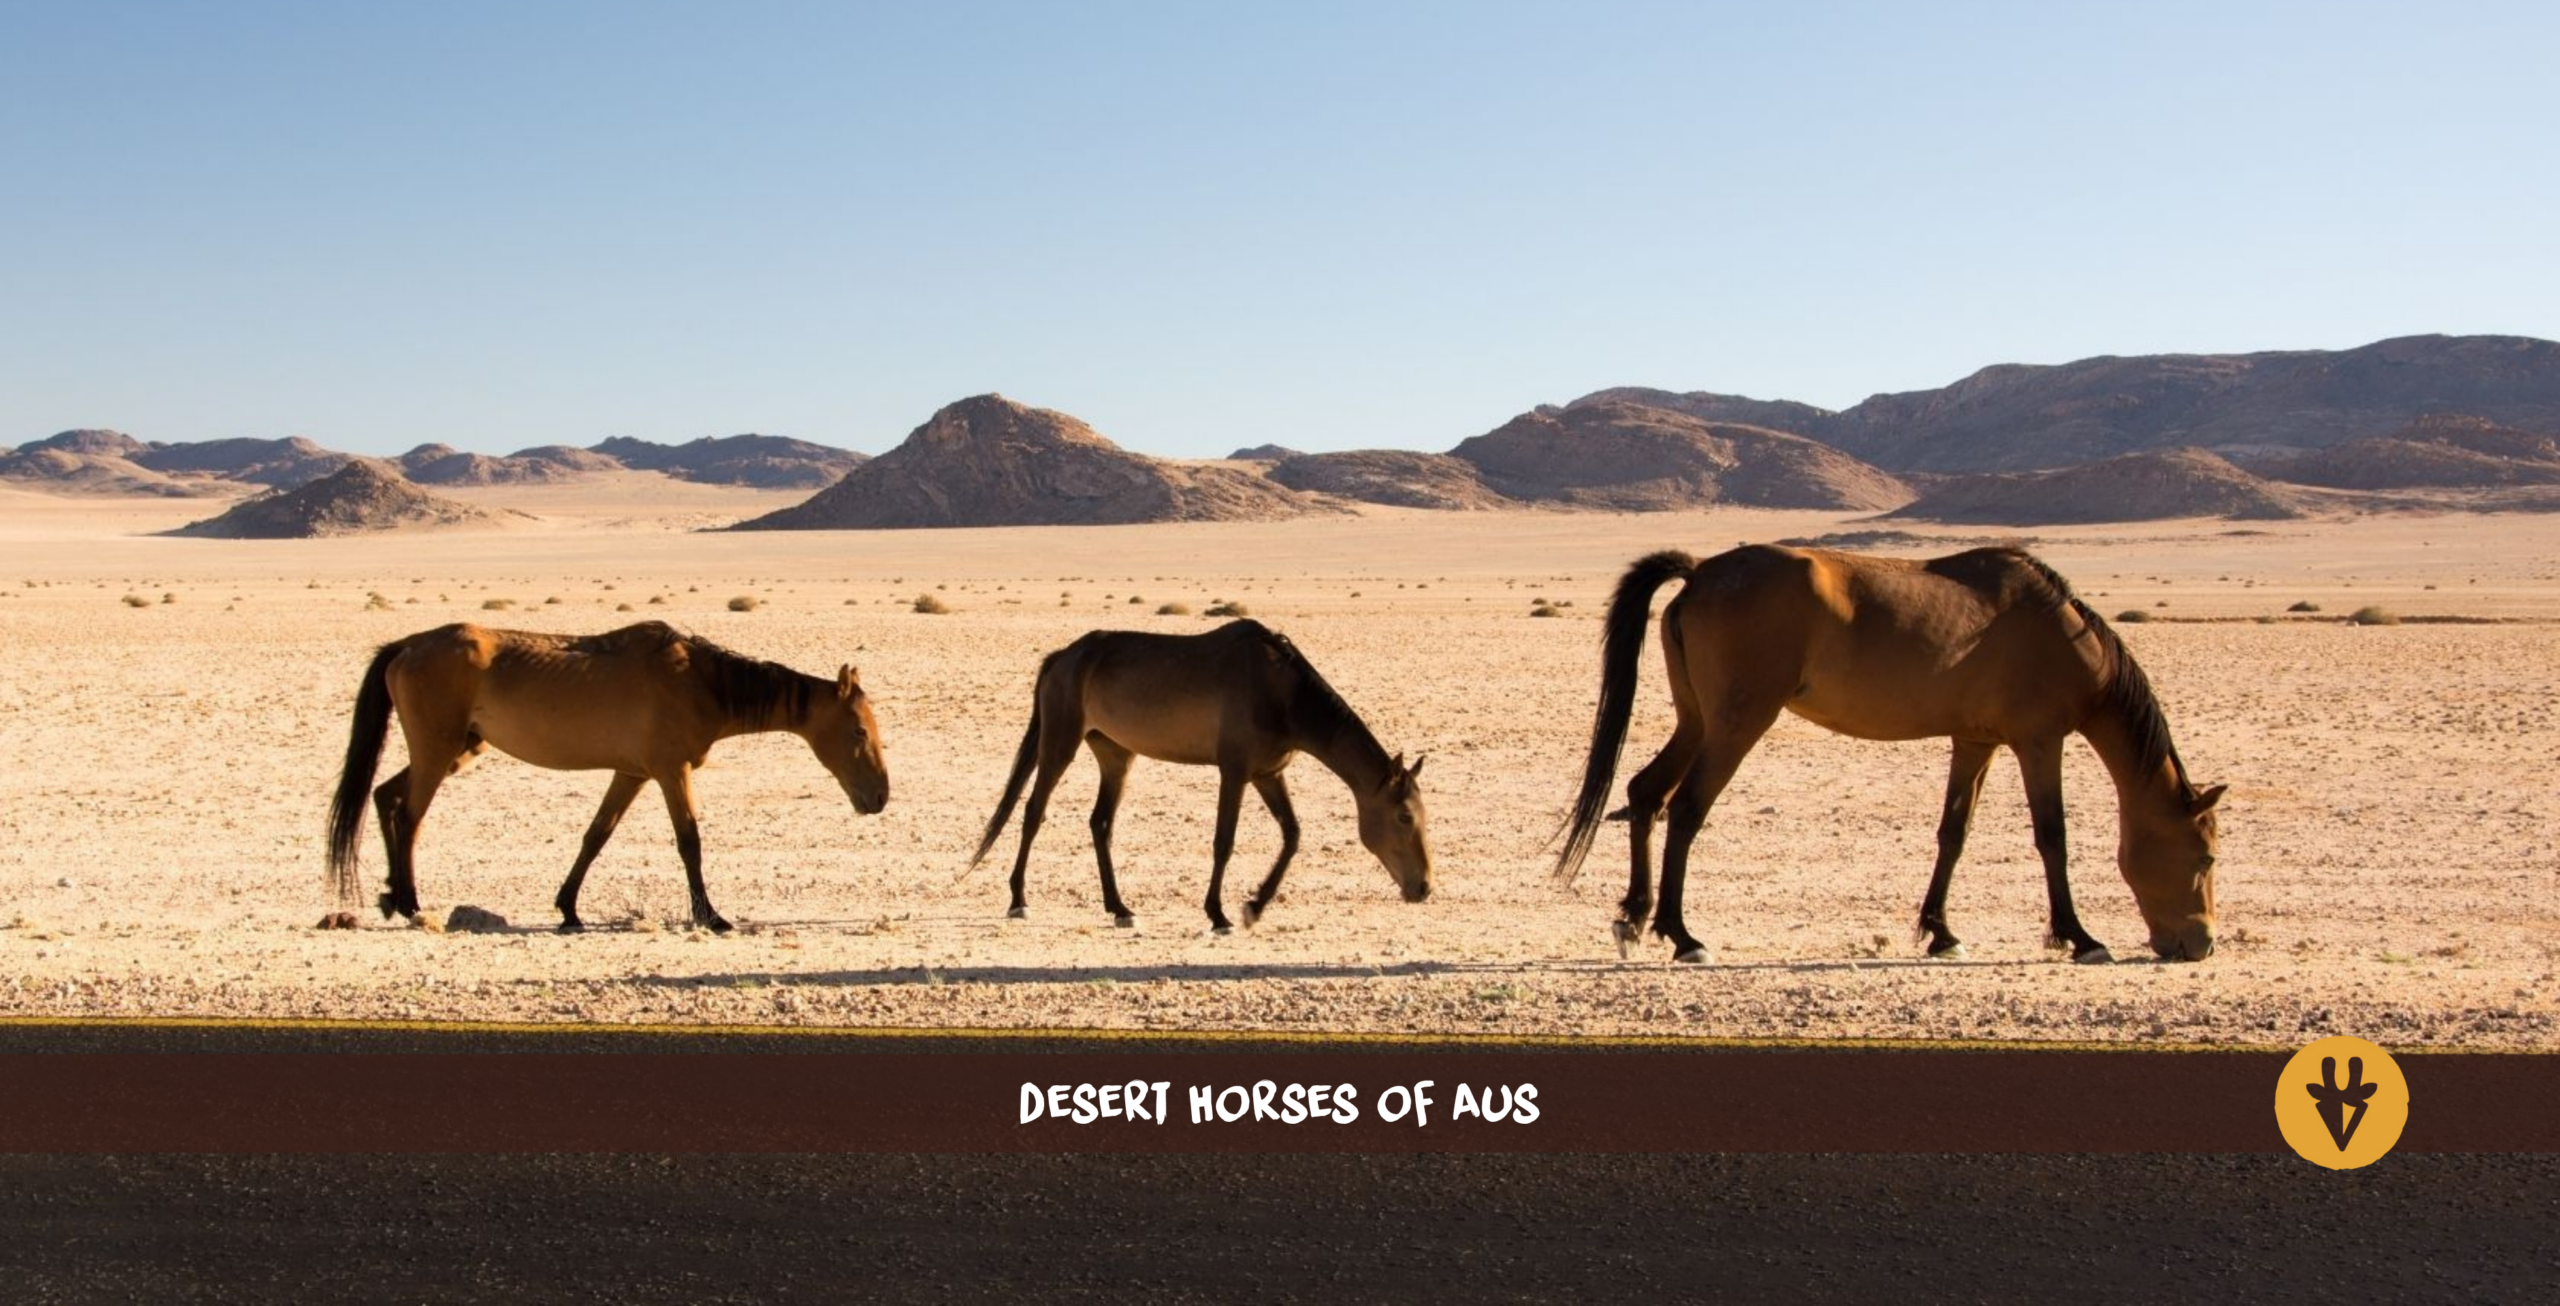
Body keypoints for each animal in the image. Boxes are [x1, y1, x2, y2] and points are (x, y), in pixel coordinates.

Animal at [326, 621, 888, 933]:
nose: (879, 797)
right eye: (859, 730)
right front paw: (711, 916)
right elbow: (690, 843)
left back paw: (389, 896)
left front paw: (569, 909)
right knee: (410, 816)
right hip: (437, 749)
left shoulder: (631, 773)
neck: (702, 682)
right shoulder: (670, 771)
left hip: (457, 748)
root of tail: (407, 645)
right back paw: (409, 902)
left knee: (384, 796)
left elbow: (596, 836)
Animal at [972, 618, 1432, 932]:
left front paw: (1255, 906)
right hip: (1059, 744)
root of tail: (1062, 657)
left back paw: (1119, 908)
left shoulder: (1268, 774)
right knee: (1033, 811)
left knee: (1100, 823)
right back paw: (1018, 899)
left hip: (1115, 755)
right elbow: (1223, 842)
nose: (1424, 887)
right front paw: (1219, 913)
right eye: (1404, 816)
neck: (1285, 694)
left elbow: (1292, 835)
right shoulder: (1235, 772)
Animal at [1554, 545, 2224, 965]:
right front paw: (2079, 937)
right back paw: (1682, 934)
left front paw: (1941, 933)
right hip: (1736, 725)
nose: (2202, 944)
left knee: (1646, 793)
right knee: (1687, 809)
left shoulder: (1975, 742)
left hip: (1697, 722)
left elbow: (1954, 833)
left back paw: (1633, 917)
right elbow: (2051, 836)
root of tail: (1699, 575)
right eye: (2207, 857)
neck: (2060, 634)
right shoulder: (2039, 741)